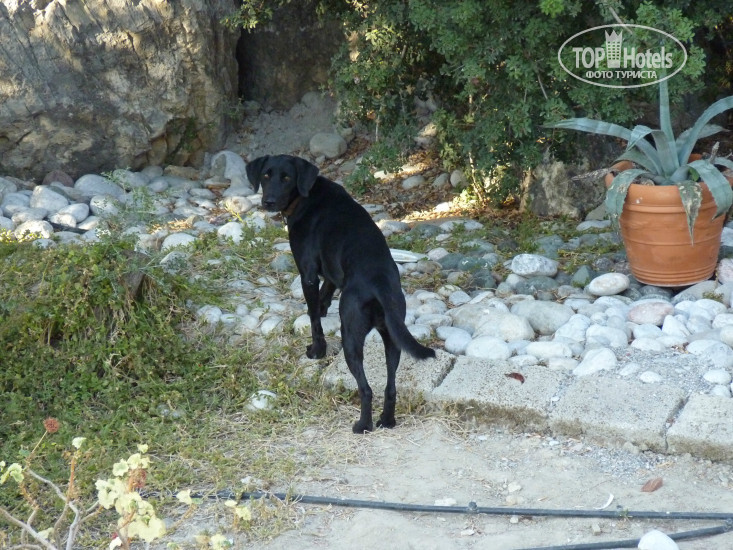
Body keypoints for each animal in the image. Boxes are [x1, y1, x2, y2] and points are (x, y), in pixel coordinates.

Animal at [246, 154, 436, 433]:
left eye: (287, 178)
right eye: (266, 175)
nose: (268, 201)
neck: (307, 195)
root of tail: (378, 282)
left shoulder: (308, 272)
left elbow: (313, 317)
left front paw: (317, 349)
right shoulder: (331, 270)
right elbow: (326, 291)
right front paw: (324, 308)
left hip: (351, 337)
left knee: (366, 389)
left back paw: (363, 425)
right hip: (394, 339)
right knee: (390, 387)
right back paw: (386, 420)